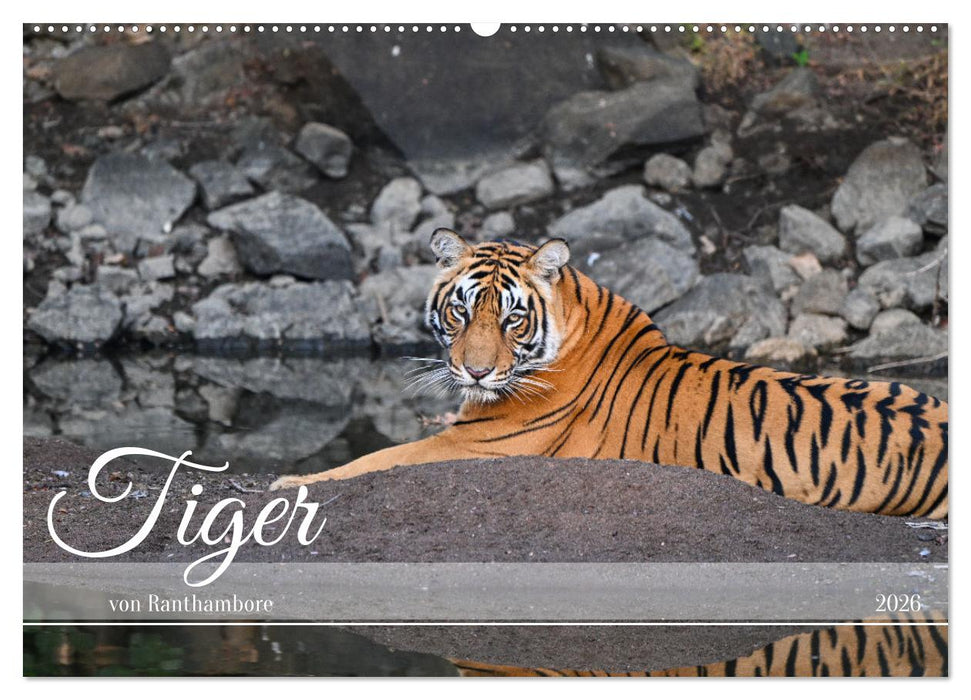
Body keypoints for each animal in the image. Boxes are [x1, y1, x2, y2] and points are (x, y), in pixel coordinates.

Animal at [270, 228, 949, 519]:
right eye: (462, 309)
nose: (476, 372)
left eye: (512, 318)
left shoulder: (472, 446)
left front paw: (289, 482)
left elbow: (371, 462)